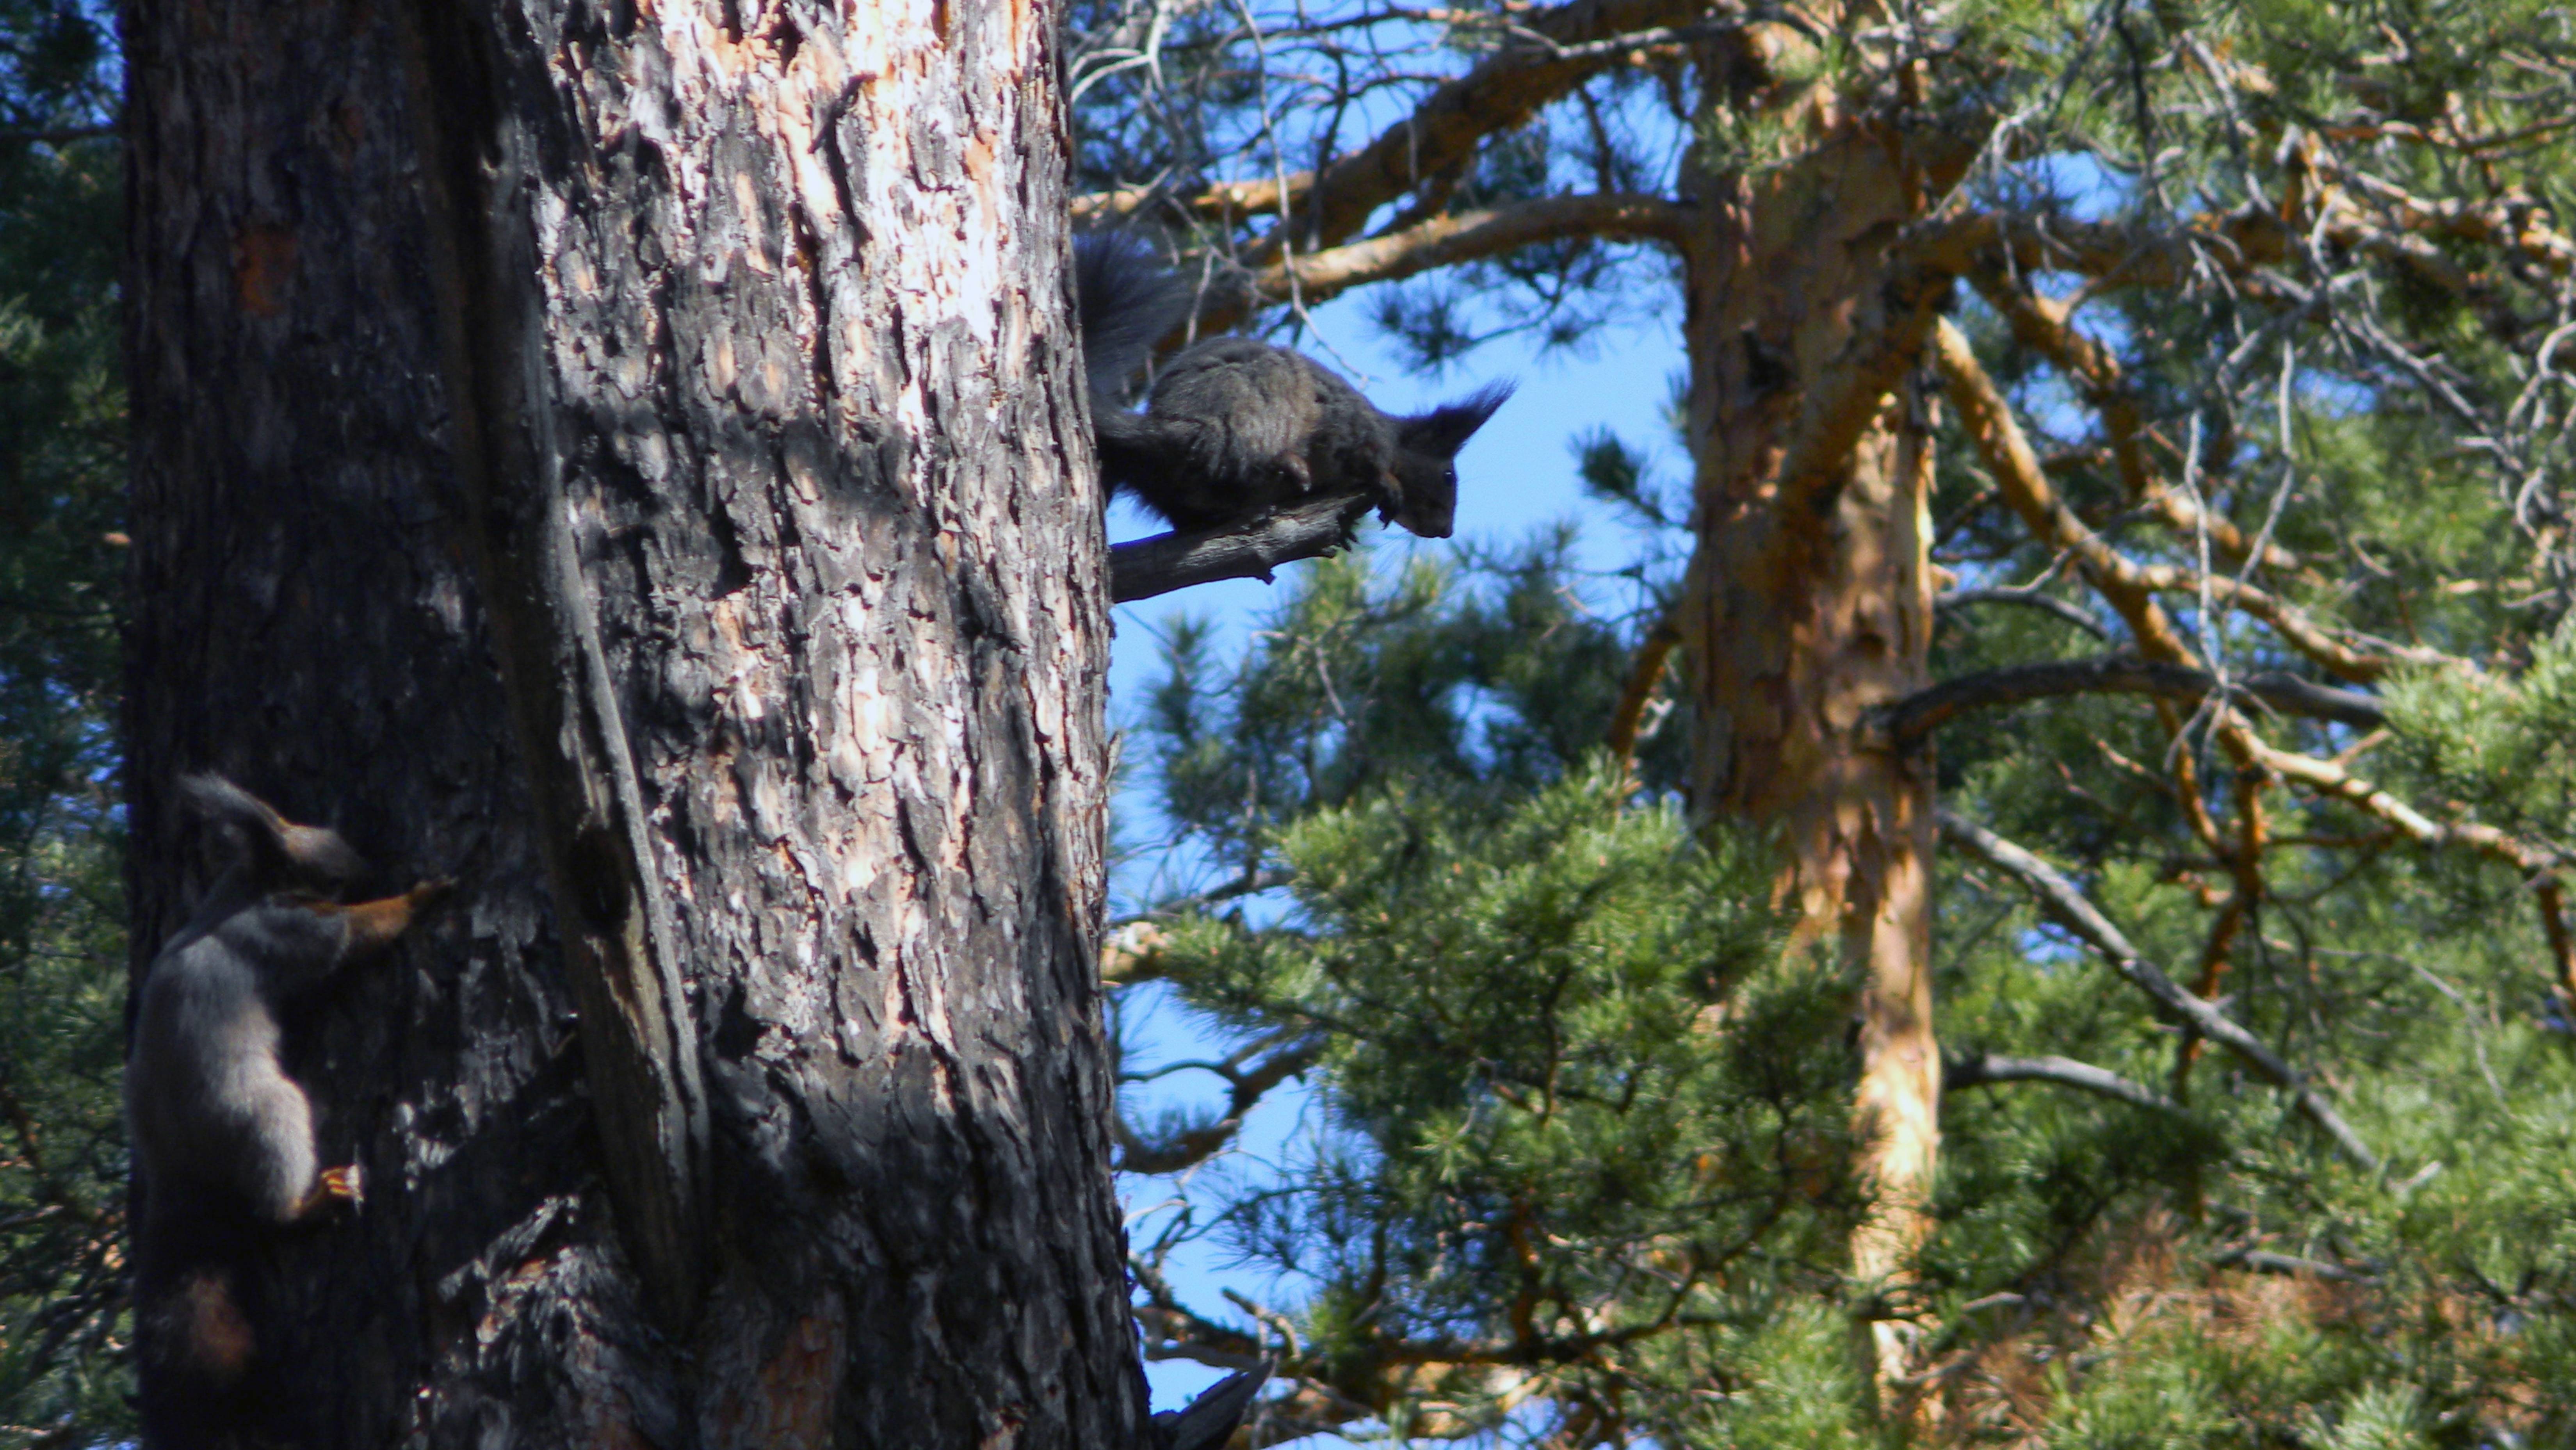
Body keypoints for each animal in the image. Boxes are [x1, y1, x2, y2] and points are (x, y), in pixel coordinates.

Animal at [130, 778, 450, 1442]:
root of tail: (177, 1164)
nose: (373, 868)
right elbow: (354, 934)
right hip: (261, 1110)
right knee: (272, 1198)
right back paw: (312, 1201)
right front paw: (417, 897)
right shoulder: (288, 934)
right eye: (329, 876)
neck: (247, 888)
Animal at [1082, 235, 1515, 541]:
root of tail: (1169, 427)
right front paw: (1385, 482)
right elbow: (1367, 457)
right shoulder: (1349, 427)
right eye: (1448, 476)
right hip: (1257, 408)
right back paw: (1285, 466)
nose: (1446, 532)